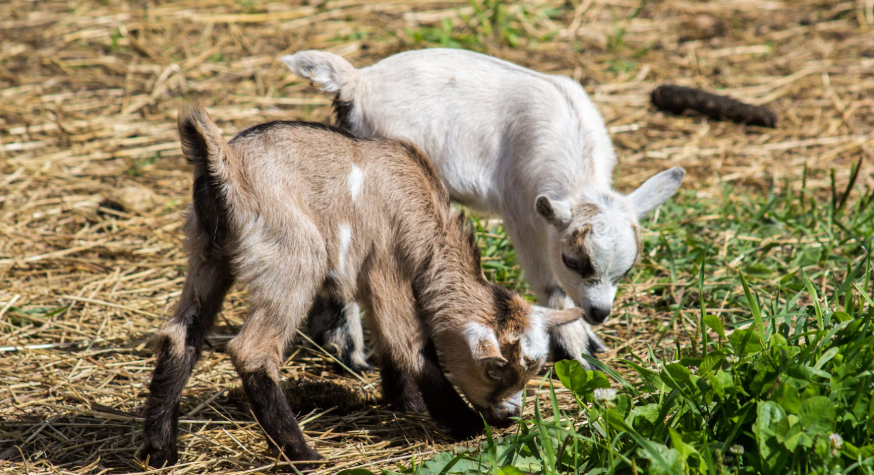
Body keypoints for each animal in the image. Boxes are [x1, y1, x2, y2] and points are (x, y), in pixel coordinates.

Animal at [136, 104, 584, 468]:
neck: (418, 205)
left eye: (534, 369)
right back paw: (303, 454)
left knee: (180, 335)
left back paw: (160, 449)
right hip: (292, 257)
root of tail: (226, 165)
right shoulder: (385, 265)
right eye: (494, 369)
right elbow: (410, 344)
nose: (509, 415)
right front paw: (465, 425)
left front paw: (404, 403)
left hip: (208, 255)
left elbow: (388, 344)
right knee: (252, 350)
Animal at [282, 48, 685, 369]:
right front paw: (577, 348)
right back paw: (351, 351)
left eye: (626, 269)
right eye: (572, 261)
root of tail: (357, 81)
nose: (600, 313)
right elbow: (549, 283)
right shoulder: (522, 210)